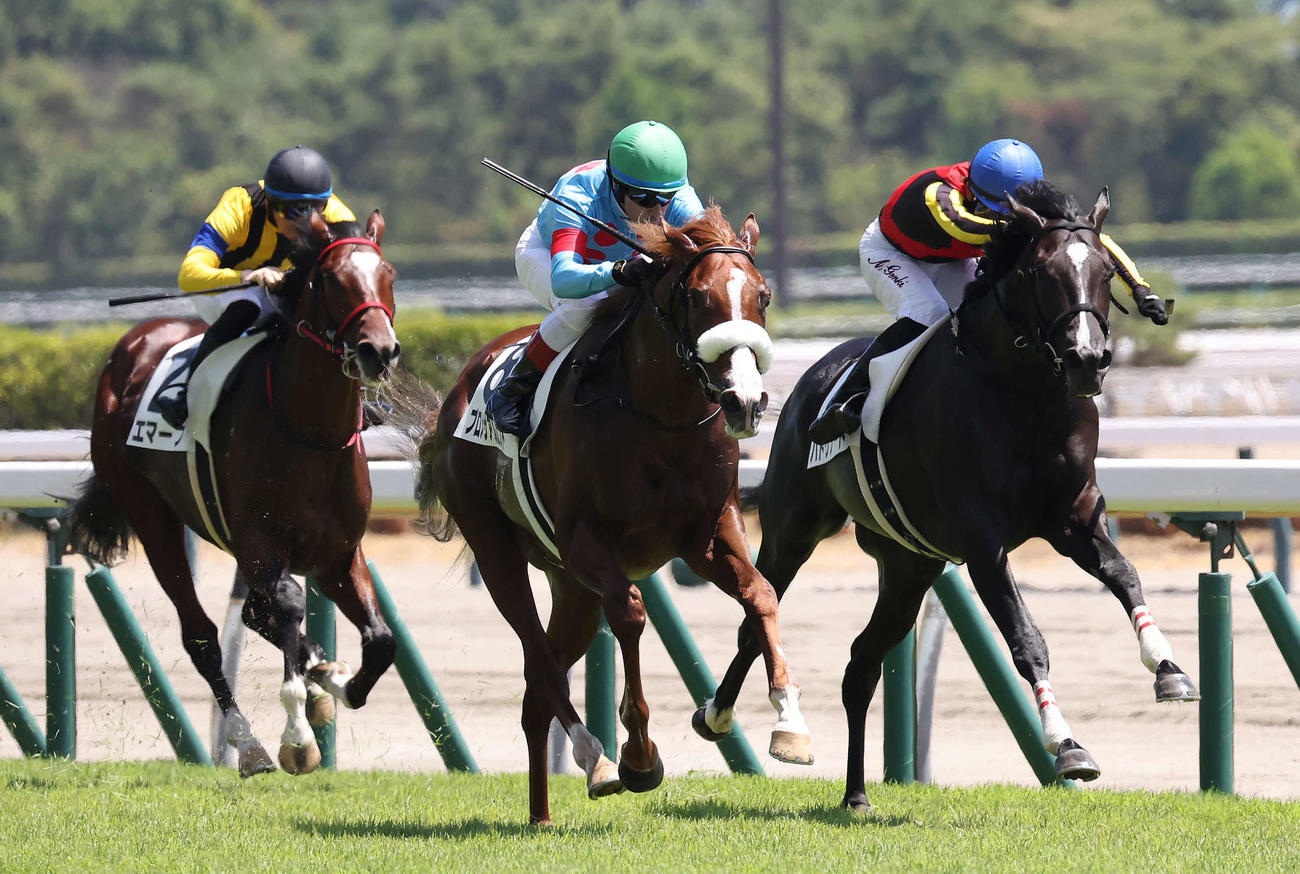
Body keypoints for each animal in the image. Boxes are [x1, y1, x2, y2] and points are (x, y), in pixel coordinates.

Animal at [66, 210, 401, 777]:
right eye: (332, 279)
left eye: (390, 275)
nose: (379, 350)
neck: (309, 431)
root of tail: (132, 344)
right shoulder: (261, 544)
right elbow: (286, 604)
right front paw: (297, 734)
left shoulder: (338, 554)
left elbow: (380, 642)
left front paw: (334, 680)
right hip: (150, 514)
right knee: (202, 635)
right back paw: (250, 745)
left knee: (250, 616)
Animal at [412, 207, 812, 825]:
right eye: (698, 298)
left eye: (763, 297)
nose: (745, 402)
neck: (662, 417)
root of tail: (456, 393)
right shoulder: (587, 545)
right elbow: (629, 614)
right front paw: (640, 756)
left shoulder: (708, 534)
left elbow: (761, 594)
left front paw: (784, 723)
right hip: (498, 551)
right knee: (539, 658)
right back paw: (595, 758)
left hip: (570, 589)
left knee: (536, 689)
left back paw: (541, 812)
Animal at [696, 181, 1199, 812]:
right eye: (1040, 271)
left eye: (1106, 271)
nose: (1088, 359)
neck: (1024, 394)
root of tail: (805, 385)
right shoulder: (983, 540)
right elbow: (1026, 639)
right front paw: (1067, 746)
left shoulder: (1074, 517)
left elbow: (1125, 575)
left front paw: (1169, 668)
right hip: (794, 529)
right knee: (756, 613)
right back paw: (725, 716)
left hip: (909, 567)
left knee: (861, 663)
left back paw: (856, 794)